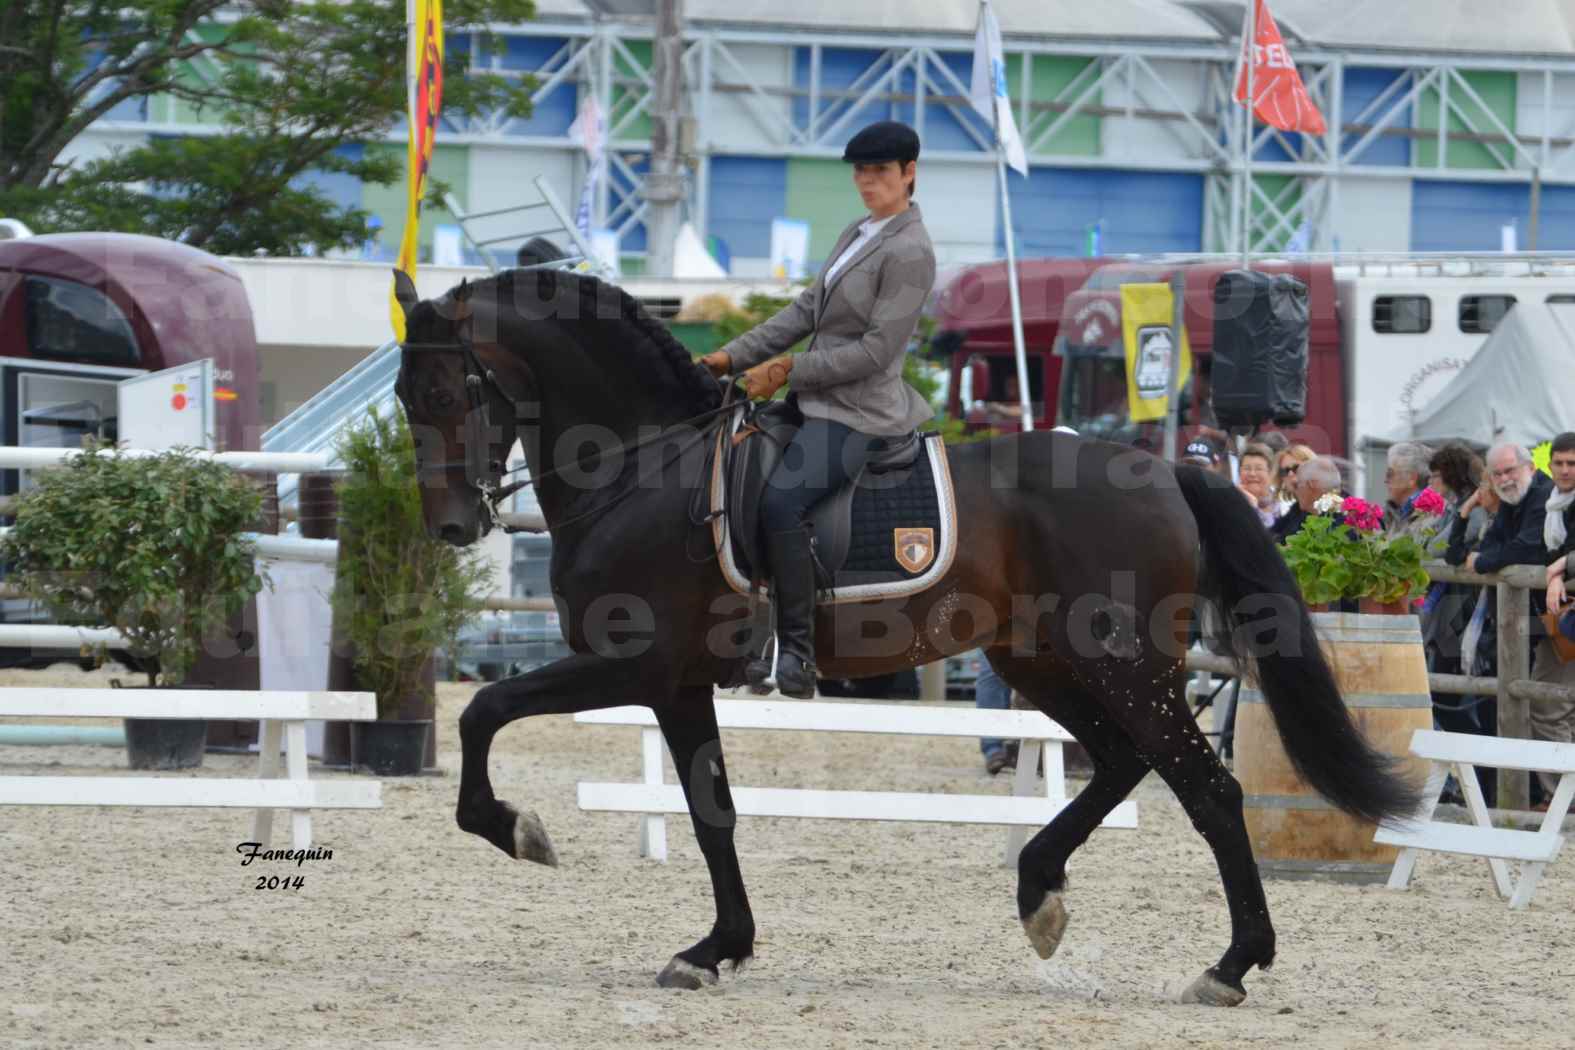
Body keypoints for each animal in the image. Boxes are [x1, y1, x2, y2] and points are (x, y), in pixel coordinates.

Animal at [390, 267, 1417, 1007]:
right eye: (405, 397)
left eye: (448, 392)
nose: (452, 527)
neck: (645, 464)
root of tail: (1168, 471)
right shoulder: (675, 685)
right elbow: (712, 812)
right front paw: (717, 949)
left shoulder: (629, 662)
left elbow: (483, 711)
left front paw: (515, 829)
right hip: (1038, 661)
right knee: (1123, 762)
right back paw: (1039, 893)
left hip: (1122, 665)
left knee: (1207, 787)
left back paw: (1230, 964)